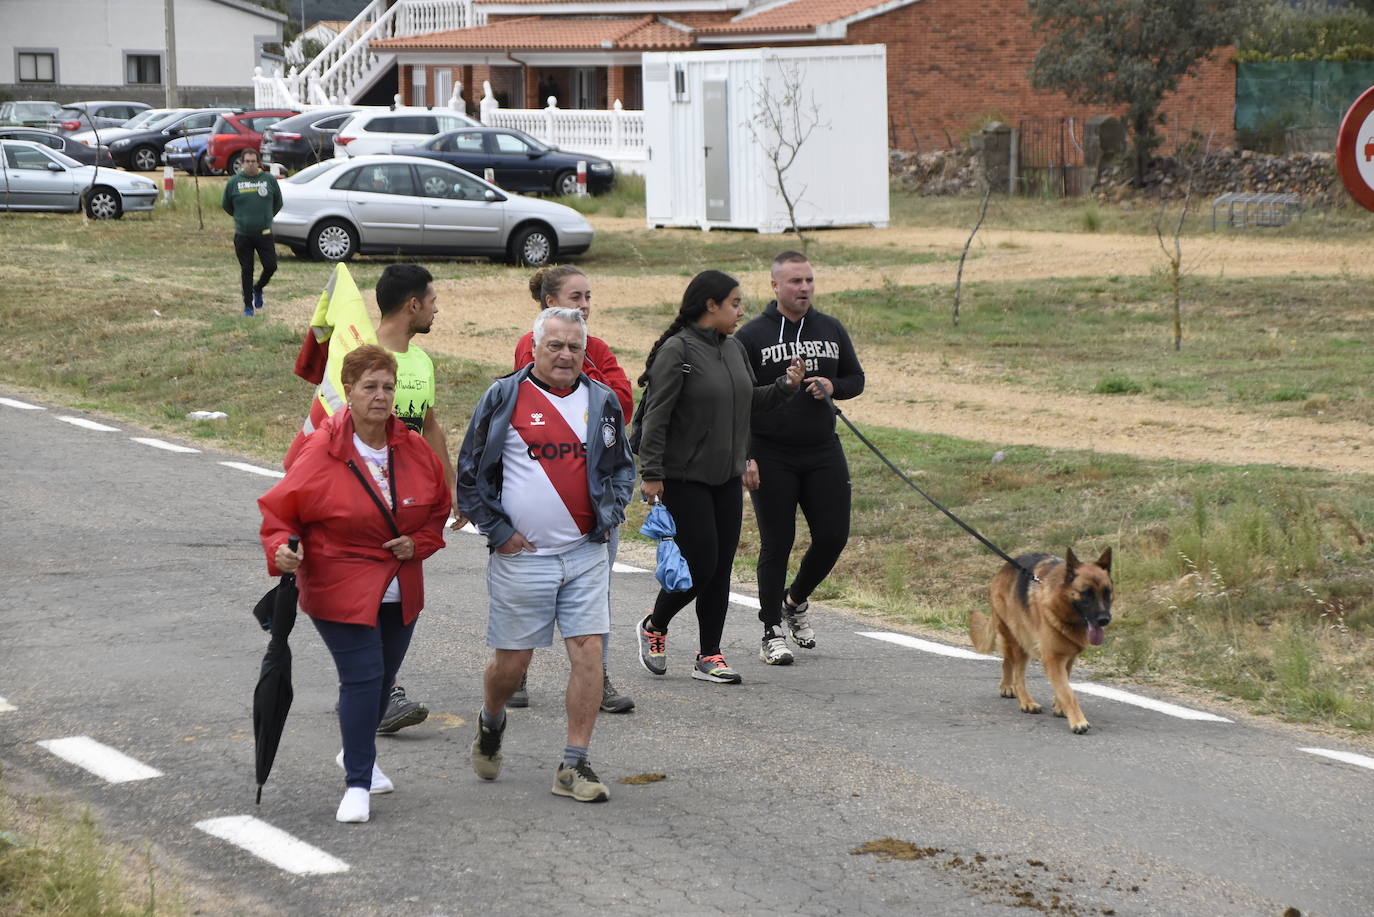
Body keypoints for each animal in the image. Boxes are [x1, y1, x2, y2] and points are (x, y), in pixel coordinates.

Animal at [972, 549, 1110, 736]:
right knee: (1018, 675)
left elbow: (1064, 685)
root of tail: (1004, 569)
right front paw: (1078, 721)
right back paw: (1026, 702)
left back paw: (1007, 686)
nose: (1104, 620)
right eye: (1086, 593)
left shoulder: (1068, 657)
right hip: (1020, 641)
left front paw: (1060, 707)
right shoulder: (1053, 659)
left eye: (1107, 593)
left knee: (1007, 661)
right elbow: (1068, 692)